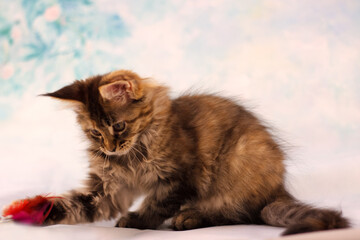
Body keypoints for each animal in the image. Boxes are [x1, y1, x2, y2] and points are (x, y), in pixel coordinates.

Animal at [38, 69, 348, 234]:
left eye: (118, 126)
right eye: (95, 133)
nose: (109, 148)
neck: (132, 154)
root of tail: (278, 189)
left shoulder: (180, 177)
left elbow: (157, 204)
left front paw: (138, 221)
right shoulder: (108, 188)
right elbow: (79, 204)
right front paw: (40, 212)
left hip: (237, 167)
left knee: (240, 214)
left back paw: (190, 217)